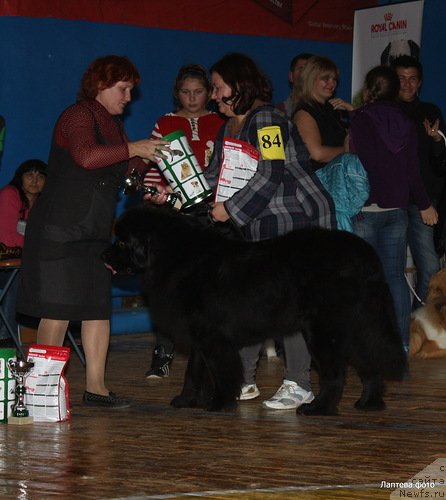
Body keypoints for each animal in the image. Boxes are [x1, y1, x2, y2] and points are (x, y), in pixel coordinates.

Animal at [103, 205, 408, 416]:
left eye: (122, 242)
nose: (104, 254)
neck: (176, 257)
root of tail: (363, 252)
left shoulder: (213, 338)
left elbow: (222, 372)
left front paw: (219, 403)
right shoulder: (200, 337)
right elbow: (194, 372)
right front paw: (187, 400)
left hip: (324, 330)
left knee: (335, 374)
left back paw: (318, 409)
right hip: (354, 327)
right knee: (369, 366)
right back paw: (369, 403)